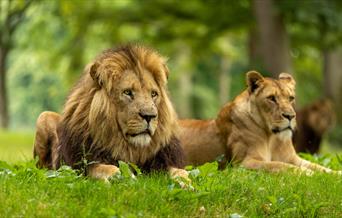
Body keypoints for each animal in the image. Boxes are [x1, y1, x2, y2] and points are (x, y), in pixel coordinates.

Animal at [33, 45, 188, 181]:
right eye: (127, 92)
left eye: (153, 94)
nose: (149, 116)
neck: (131, 149)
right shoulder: (81, 167)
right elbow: (106, 168)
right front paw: (124, 177)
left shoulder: (161, 161)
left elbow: (180, 171)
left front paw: (185, 182)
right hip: (43, 116)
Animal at [180, 71, 340, 174]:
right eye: (272, 98)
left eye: (291, 98)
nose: (290, 116)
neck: (272, 137)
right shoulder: (243, 164)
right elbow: (279, 166)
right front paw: (307, 173)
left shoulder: (293, 158)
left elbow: (320, 167)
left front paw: (336, 174)